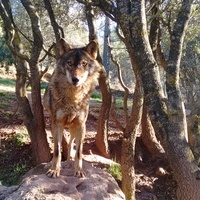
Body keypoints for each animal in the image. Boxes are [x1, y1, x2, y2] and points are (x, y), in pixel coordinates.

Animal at [43, 38, 100, 178]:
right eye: (69, 63)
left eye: (84, 64)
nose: (76, 79)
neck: (73, 98)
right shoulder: (57, 124)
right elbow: (57, 151)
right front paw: (54, 170)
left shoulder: (81, 125)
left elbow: (79, 152)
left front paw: (78, 170)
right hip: (55, 126)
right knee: (61, 144)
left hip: (76, 129)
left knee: (70, 144)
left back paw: (69, 160)